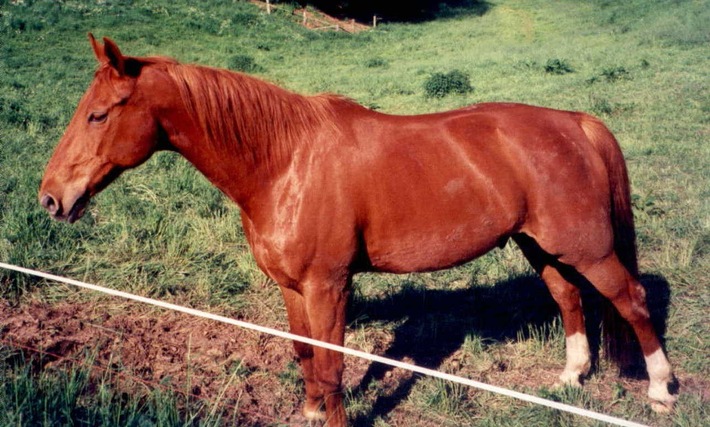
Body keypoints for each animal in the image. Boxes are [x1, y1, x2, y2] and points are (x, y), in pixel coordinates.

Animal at [39, 36, 680, 424]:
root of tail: (575, 121)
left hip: (587, 248)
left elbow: (331, 364)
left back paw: (659, 389)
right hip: (540, 246)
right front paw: (310, 412)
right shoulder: (293, 288)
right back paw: (571, 379)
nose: (50, 198)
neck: (283, 161)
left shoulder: (330, 285)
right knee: (569, 298)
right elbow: (305, 354)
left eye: (98, 114)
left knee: (631, 299)